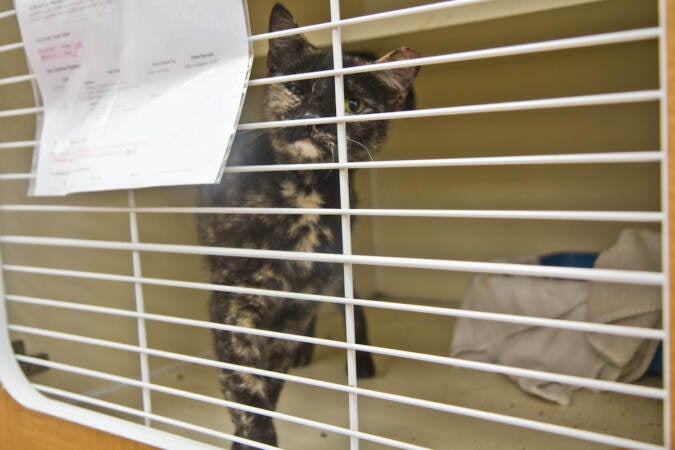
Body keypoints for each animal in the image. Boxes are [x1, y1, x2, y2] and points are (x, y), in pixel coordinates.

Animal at [195, 4, 420, 450]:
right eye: (298, 89)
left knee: (354, 305)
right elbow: (244, 386)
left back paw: (360, 361)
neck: (304, 194)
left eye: (353, 103)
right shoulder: (233, 302)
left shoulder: (295, 307)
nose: (314, 118)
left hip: (330, 278)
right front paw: (250, 436)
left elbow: (268, 384)